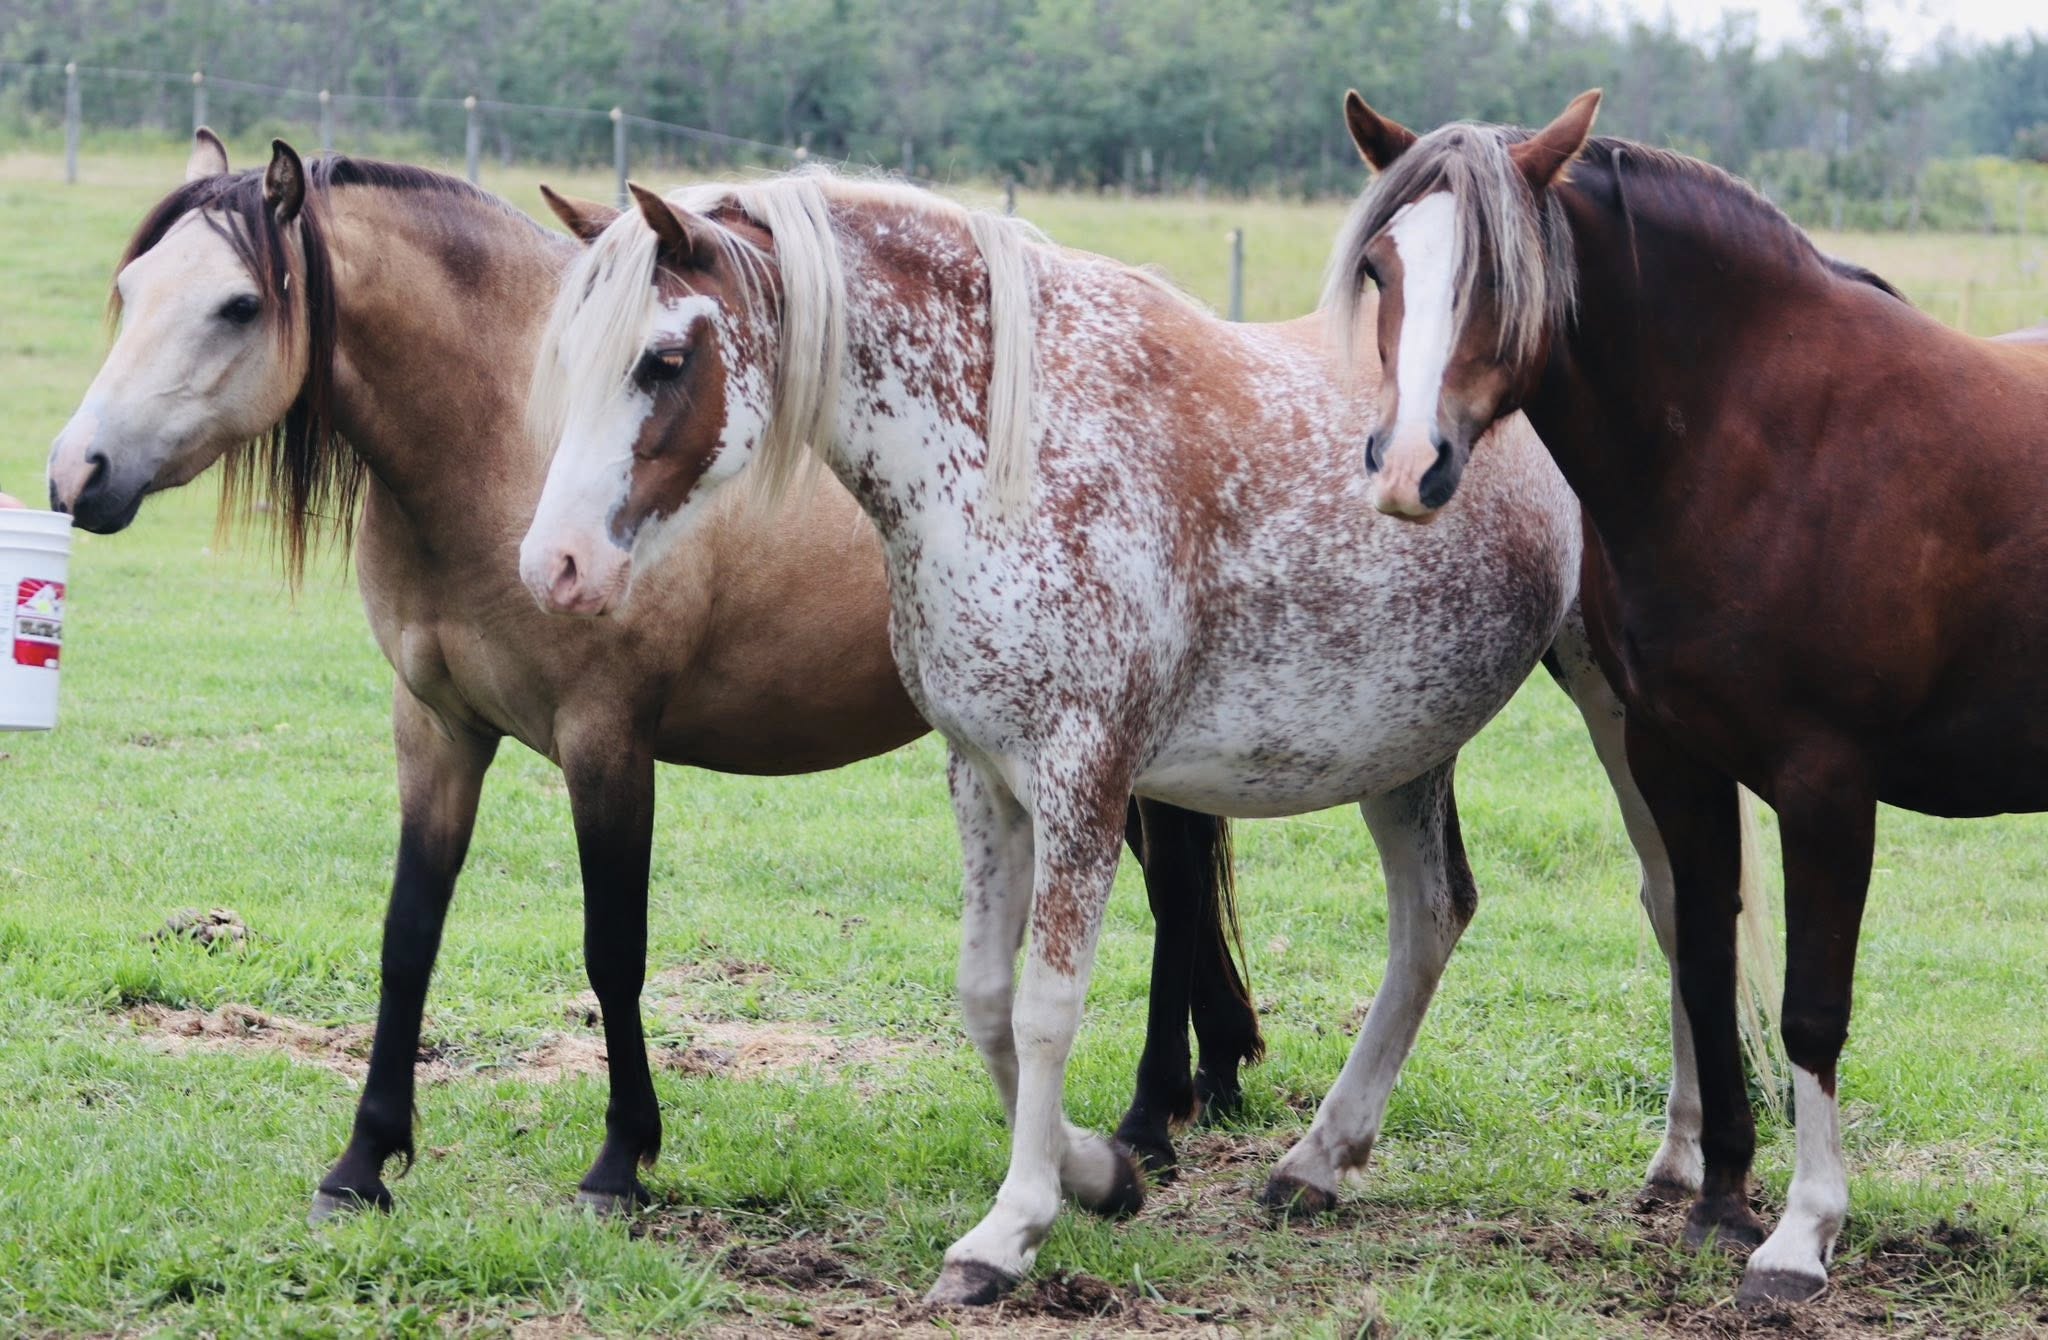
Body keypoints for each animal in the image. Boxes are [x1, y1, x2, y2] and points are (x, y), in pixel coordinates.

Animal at [44, 130, 1268, 1220]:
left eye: (237, 306)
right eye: (132, 286)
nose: (75, 472)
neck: (505, 441)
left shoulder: (606, 742)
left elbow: (613, 951)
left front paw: (620, 1159)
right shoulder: (435, 730)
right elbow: (407, 939)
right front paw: (363, 1161)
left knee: (1170, 892)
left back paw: (1153, 1112)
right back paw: (1206, 1081)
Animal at [513, 165, 1769, 1302]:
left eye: (662, 359)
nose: (553, 565)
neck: (1007, 449)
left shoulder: (1083, 775)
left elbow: (1045, 1007)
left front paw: (1010, 1228)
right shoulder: (983, 772)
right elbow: (985, 998)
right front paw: (1100, 1172)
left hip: (1616, 712)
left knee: (1672, 901)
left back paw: (1679, 1158)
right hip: (1405, 742)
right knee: (1436, 912)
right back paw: (1327, 1160)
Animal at [1330, 89, 2048, 1305]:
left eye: (1501, 275)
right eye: (1383, 268)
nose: (1407, 467)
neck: (1760, 436)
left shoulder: (1825, 785)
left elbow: (1809, 1007)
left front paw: (1800, 1235)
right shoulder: (1674, 757)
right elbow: (1705, 966)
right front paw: (1717, 1201)